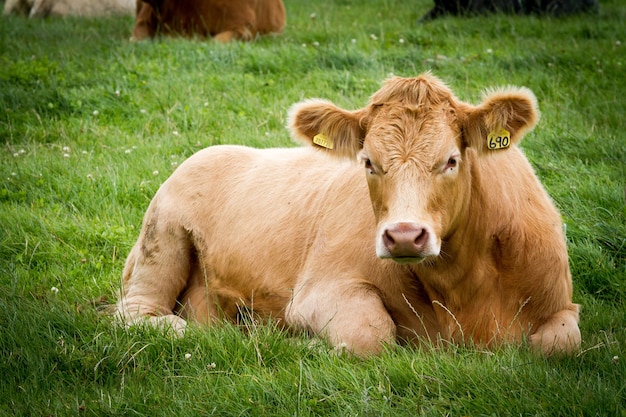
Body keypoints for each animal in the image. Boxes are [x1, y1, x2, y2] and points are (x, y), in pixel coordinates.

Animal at [117, 71, 580, 354]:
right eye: (368, 162)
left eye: (451, 160)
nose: (405, 235)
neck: (462, 288)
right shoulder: (319, 290)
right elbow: (370, 335)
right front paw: (298, 342)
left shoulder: (561, 304)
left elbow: (559, 344)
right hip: (163, 238)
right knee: (138, 312)